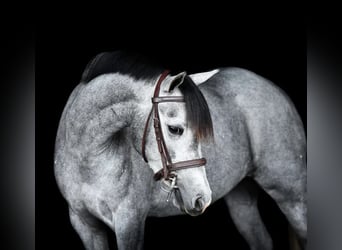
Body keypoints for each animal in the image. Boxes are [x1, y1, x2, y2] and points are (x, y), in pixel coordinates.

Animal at [54, 50, 308, 250]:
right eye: (175, 129)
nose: (202, 197)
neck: (88, 162)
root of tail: (274, 89)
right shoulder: (85, 225)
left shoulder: (129, 223)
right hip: (241, 200)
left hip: (292, 196)